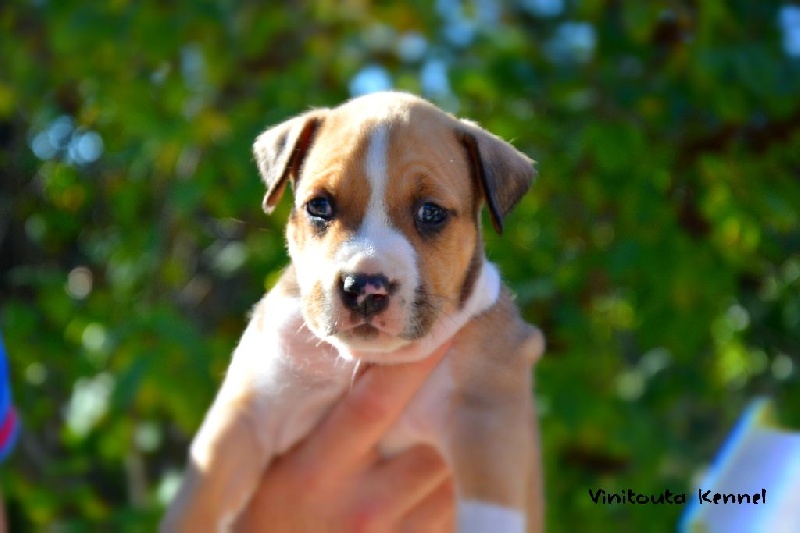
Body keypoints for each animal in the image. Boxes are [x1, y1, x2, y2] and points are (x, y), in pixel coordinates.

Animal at [162, 92, 545, 532]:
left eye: (431, 212)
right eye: (319, 206)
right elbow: (196, 505)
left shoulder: (488, 418)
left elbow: (490, 508)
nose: (365, 287)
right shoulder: (243, 421)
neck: (363, 360)